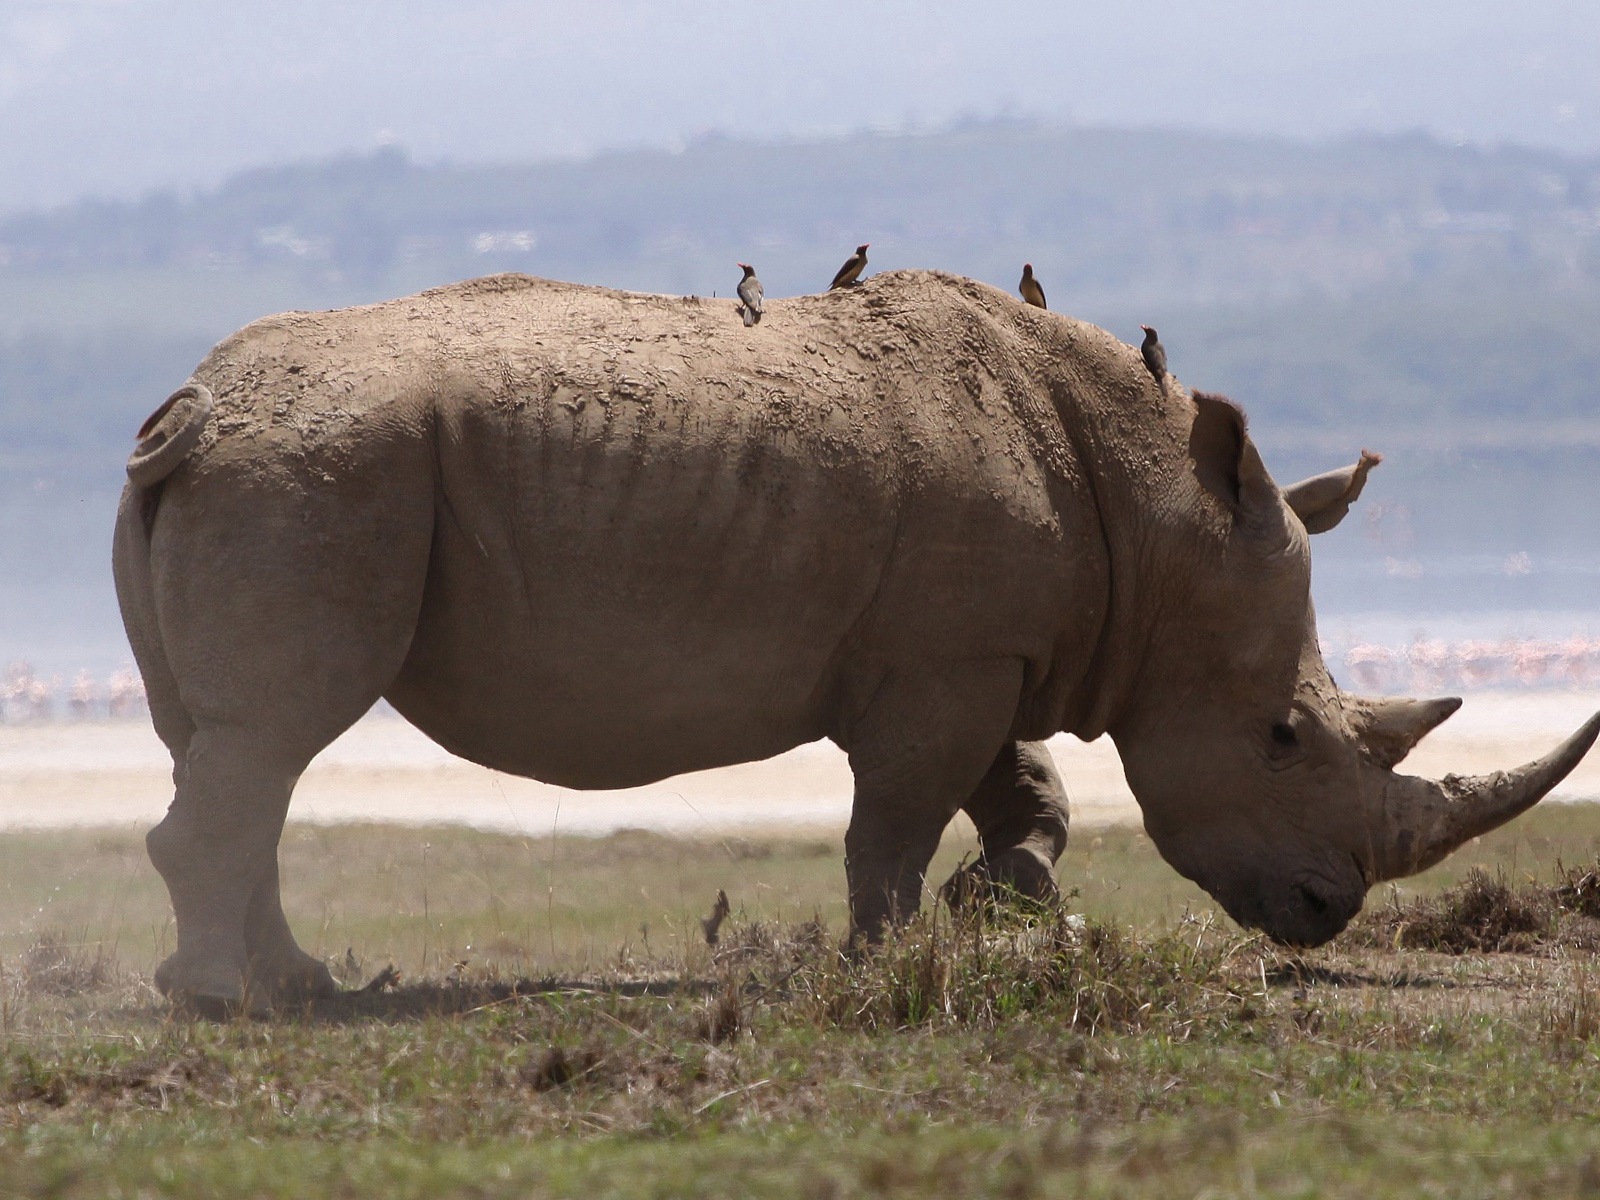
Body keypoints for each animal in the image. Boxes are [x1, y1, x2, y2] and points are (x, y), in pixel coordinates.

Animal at [116, 272, 1600, 1017]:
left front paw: (1007, 903)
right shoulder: (943, 667)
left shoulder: (979, 650)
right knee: (274, 738)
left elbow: (1023, 785)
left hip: (279, 471)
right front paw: (886, 961)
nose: (1324, 911)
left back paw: (291, 984)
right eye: (1282, 738)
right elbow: (891, 818)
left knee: (236, 749)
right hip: (318, 474)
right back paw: (228, 1003)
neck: (1162, 519)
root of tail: (189, 405)